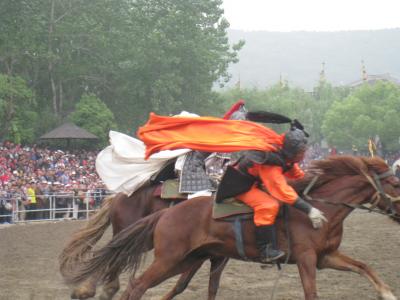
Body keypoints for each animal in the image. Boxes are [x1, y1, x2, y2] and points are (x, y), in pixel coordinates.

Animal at [61, 156, 400, 300]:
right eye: (396, 183)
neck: (322, 207)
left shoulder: (325, 257)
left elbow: (364, 266)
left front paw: (386, 292)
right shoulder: (305, 258)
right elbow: (311, 293)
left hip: (184, 258)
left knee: (134, 280)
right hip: (167, 256)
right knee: (131, 280)